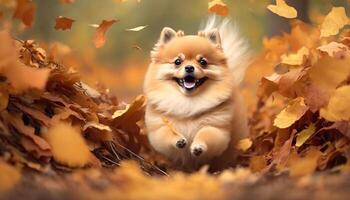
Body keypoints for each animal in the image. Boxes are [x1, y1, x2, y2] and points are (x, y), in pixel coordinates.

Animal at [144, 16, 250, 172]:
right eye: (177, 61)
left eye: (203, 62)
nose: (189, 67)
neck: (189, 101)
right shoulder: (160, 127)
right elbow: (167, 133)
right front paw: (179, 140)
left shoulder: (216, 128)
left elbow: (206, 134)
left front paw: (198, 146)